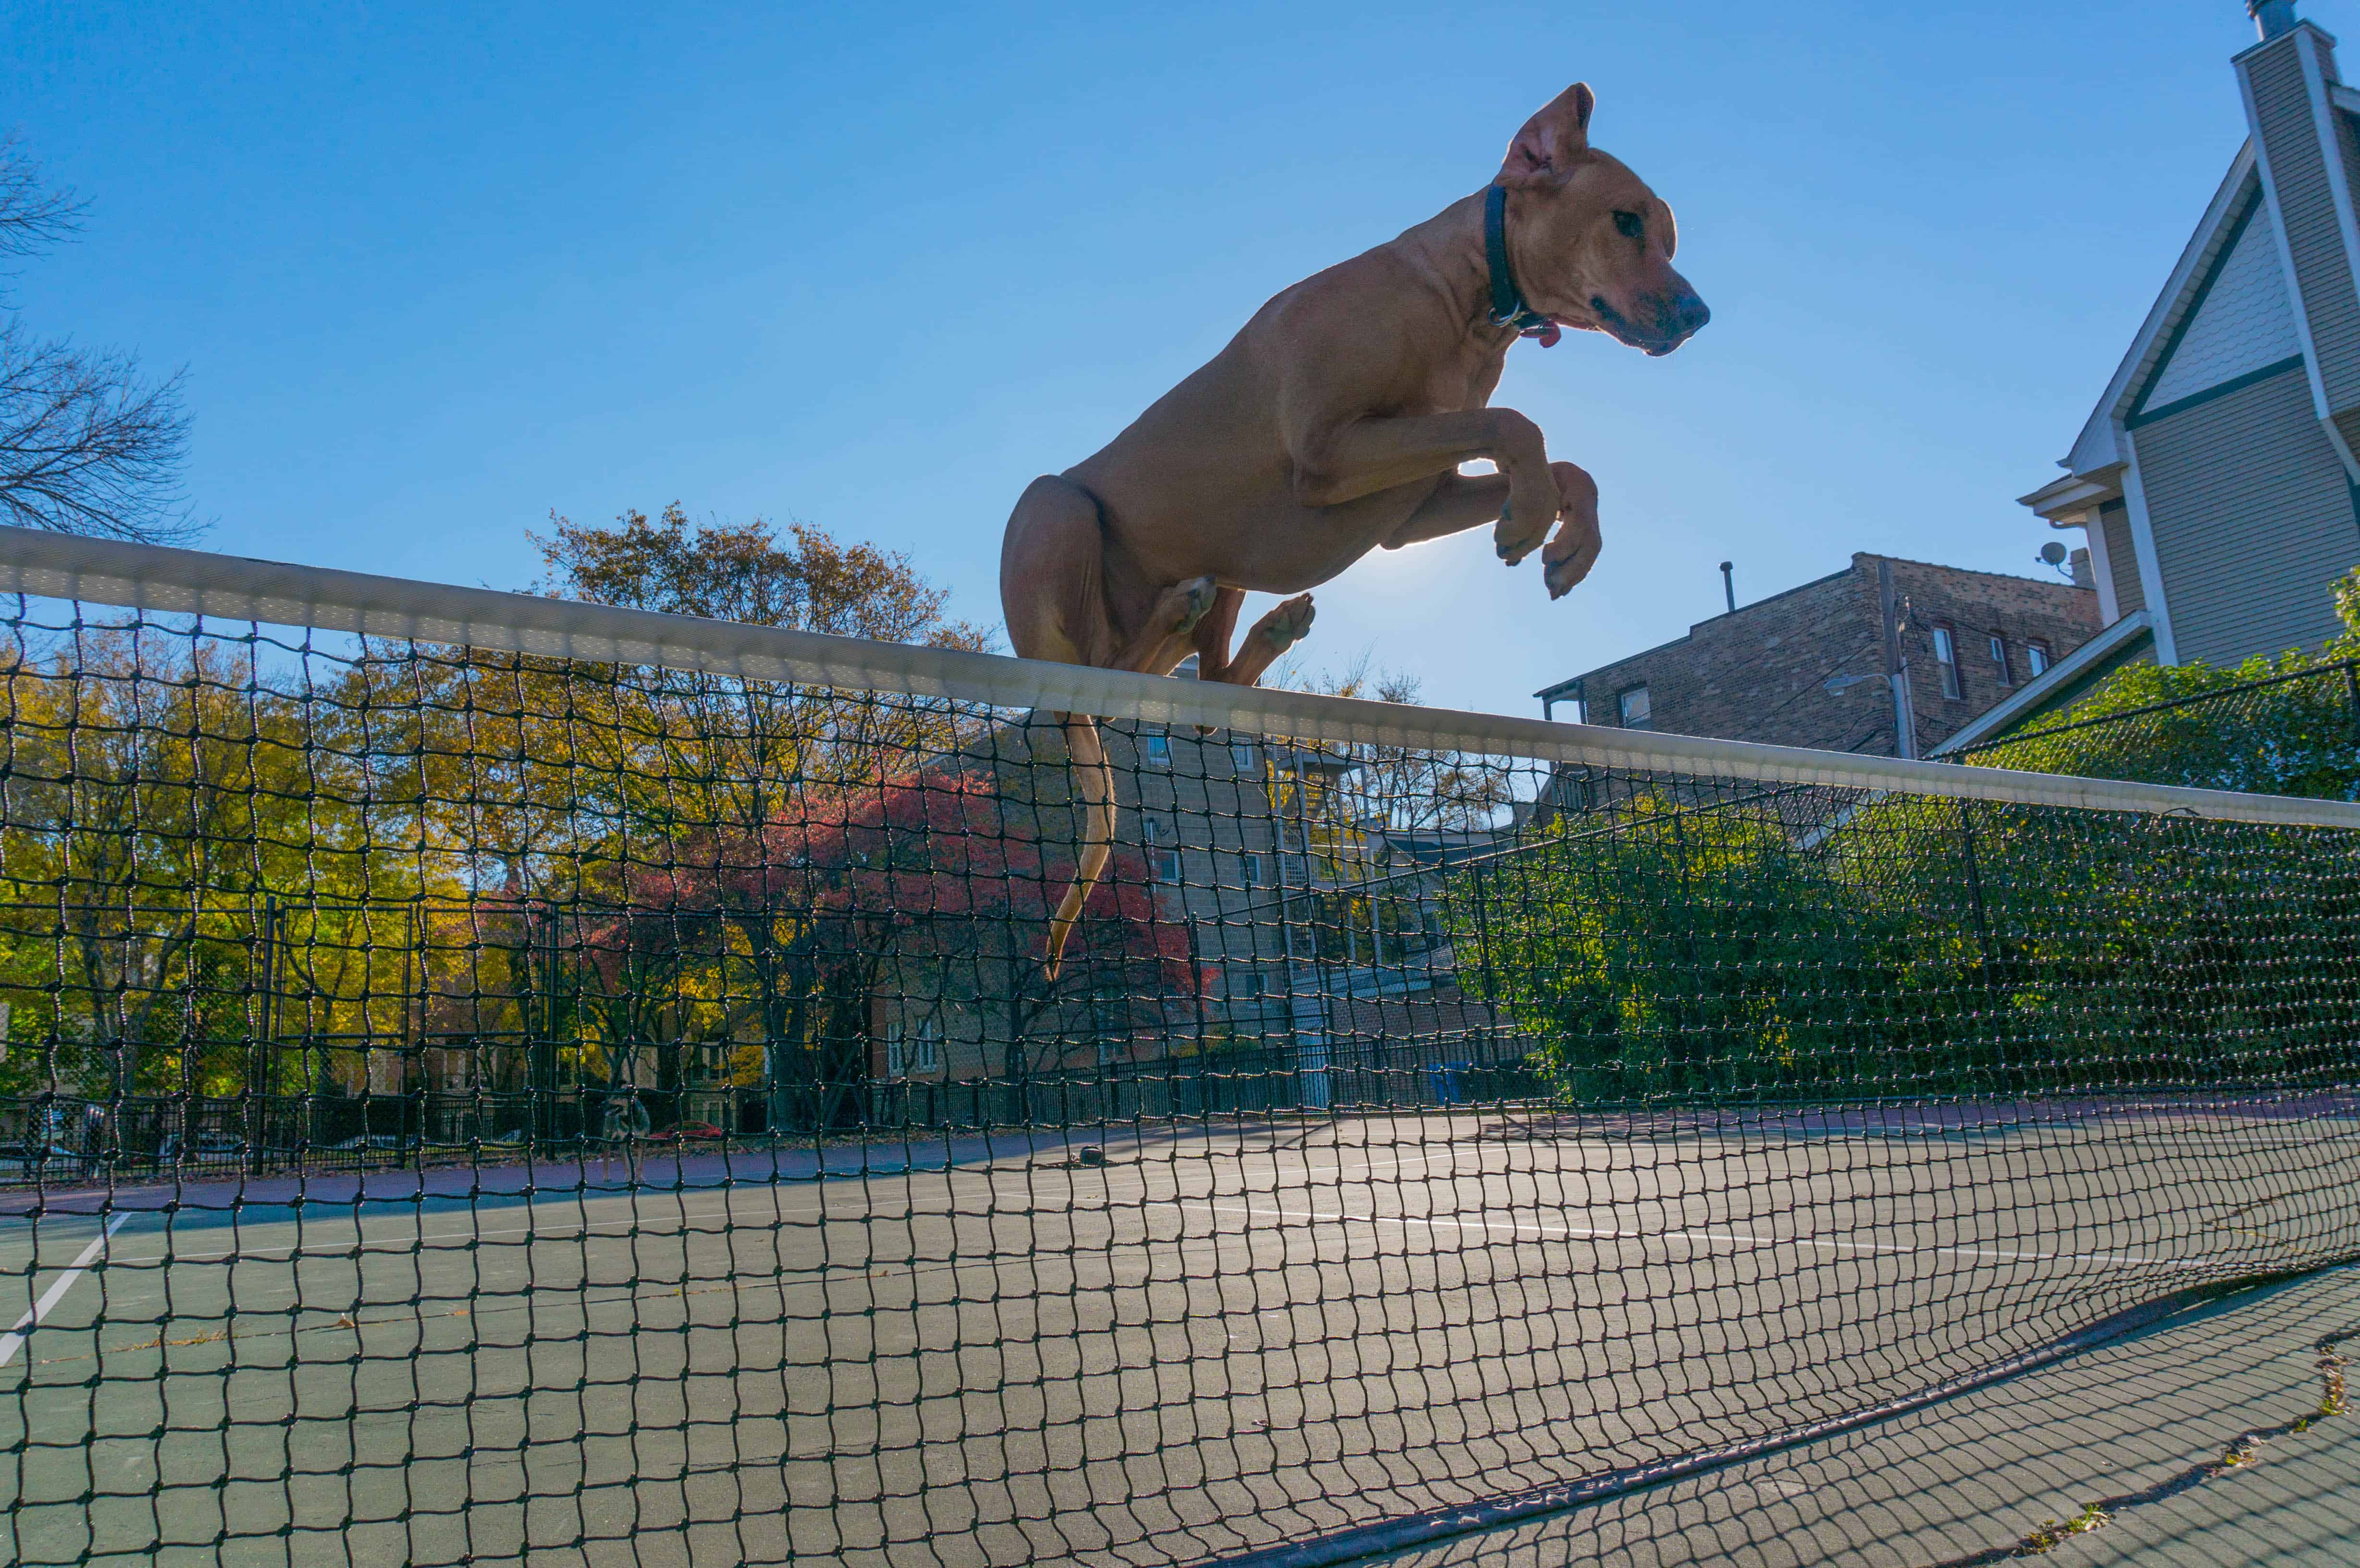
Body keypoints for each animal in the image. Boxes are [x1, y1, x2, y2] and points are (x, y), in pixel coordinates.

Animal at [1005, 83, 1709, 982]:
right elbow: (1517, 424)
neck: (1463, 300)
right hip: (1055, 509)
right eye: (1625, 221)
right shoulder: (1332, 451)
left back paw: (1261, 629)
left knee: (1203, 694)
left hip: (1228, 572)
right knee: (1106, 662)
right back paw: (1180, 611)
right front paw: (1527, 518)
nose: (1699, 313)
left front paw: (1567, 544)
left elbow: (1565, 465)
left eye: (1667, 235)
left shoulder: (1412, 505)